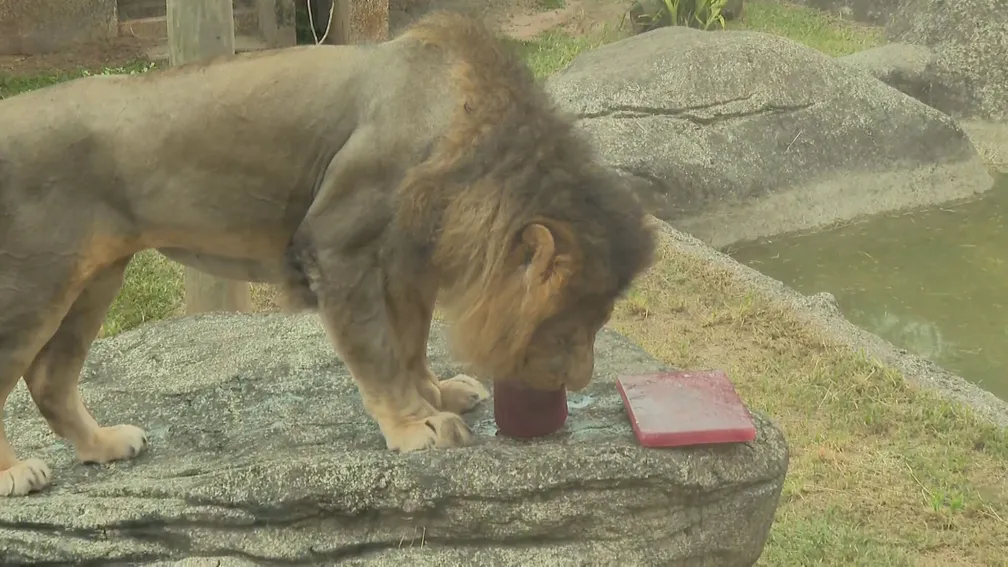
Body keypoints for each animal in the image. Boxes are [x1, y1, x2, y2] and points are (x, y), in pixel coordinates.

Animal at [0, 9, 653, 494]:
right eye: (569, 324)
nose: (578, 382)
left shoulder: (405, 263)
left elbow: (409, 342)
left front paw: (435, 393)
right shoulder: (338, 247)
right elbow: (378, 352)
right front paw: (415, 424)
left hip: (96, 277)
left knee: (50, 377)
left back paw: (104, 445)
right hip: (34, 284)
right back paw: (17, 472)